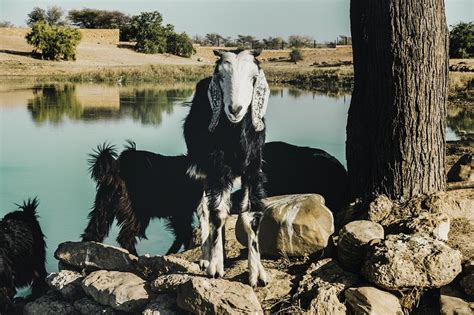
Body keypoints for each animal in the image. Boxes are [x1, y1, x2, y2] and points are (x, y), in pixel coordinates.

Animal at [182, 48, 268, 286]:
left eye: (254, 77)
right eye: (220, 76)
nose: (235, 109)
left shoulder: (253, 170)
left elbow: (250, 217)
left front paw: (257, 274)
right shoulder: (217, 170)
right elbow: (218, 214)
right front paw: (215, 267)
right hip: (201, 171)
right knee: (204, 210)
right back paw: (207, 257)